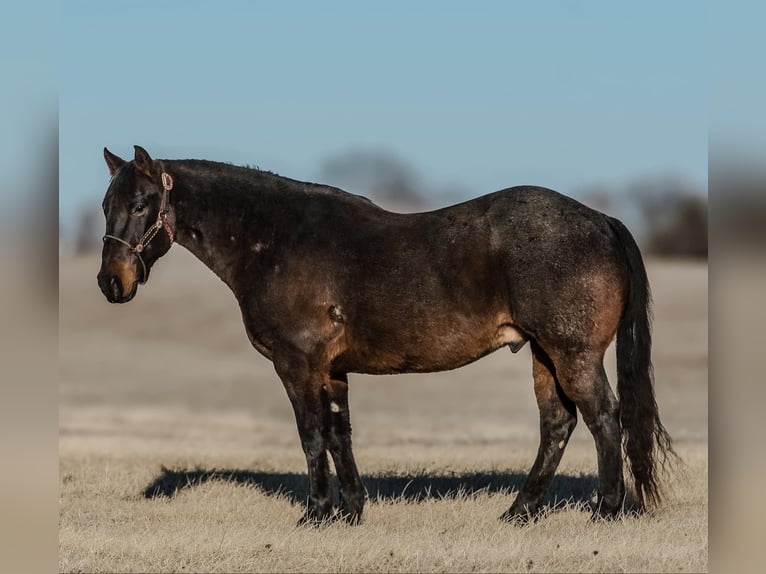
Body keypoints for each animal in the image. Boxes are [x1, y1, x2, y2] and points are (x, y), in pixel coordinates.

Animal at [97, 145, 680, 528]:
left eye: (142, 204)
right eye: (107, 205)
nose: (111, 282)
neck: (278, 240)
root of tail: (601, 220)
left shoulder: (298, 364)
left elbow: (311, 435)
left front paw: (316, 513)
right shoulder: (332, 369)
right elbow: (339, 433)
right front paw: (351, 510)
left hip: (573, 353)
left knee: (604, 419)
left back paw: (606, 511)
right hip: (544, 354)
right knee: (557, 425)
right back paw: (519, 512)